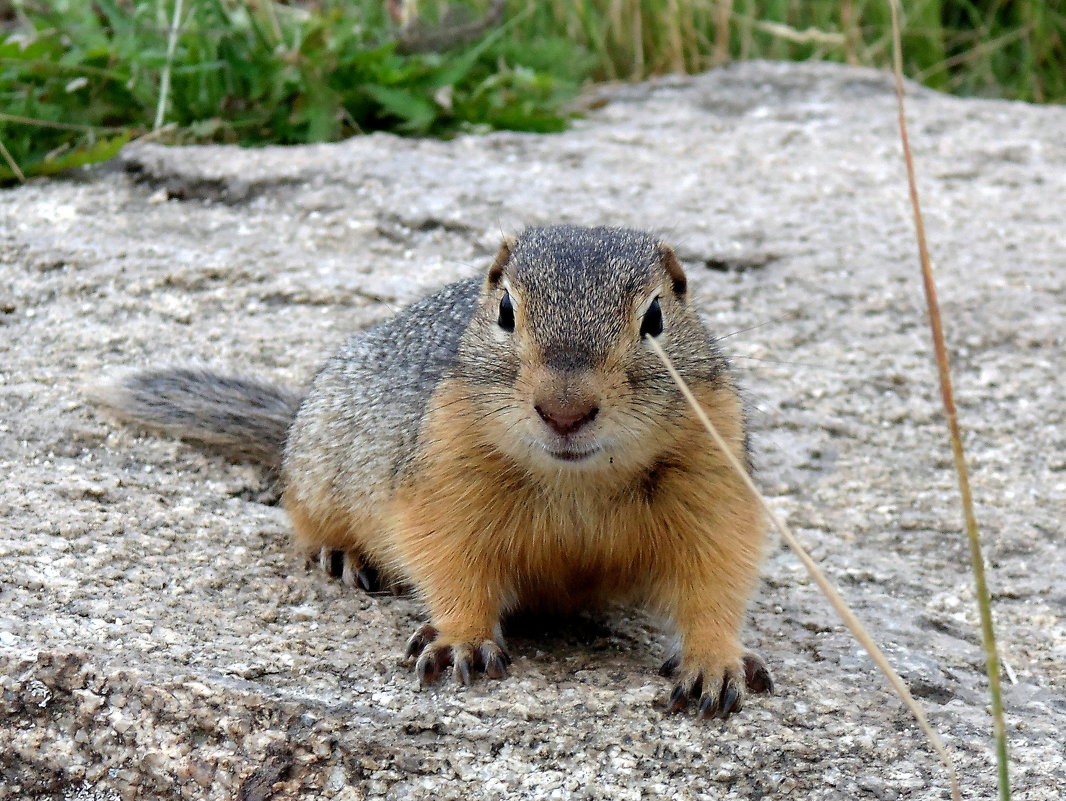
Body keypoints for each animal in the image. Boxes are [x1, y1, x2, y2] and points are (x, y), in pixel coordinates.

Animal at [95, 226, 771, 721]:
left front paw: (716, 664)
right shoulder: (444, 480)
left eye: (655, 318)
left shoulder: (714, 479)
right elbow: (451, 565)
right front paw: (460, 641)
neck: (579, 482)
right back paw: (342, 555)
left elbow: (715, 579)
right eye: (506, 311)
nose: (565, 411)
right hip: (319, 474)